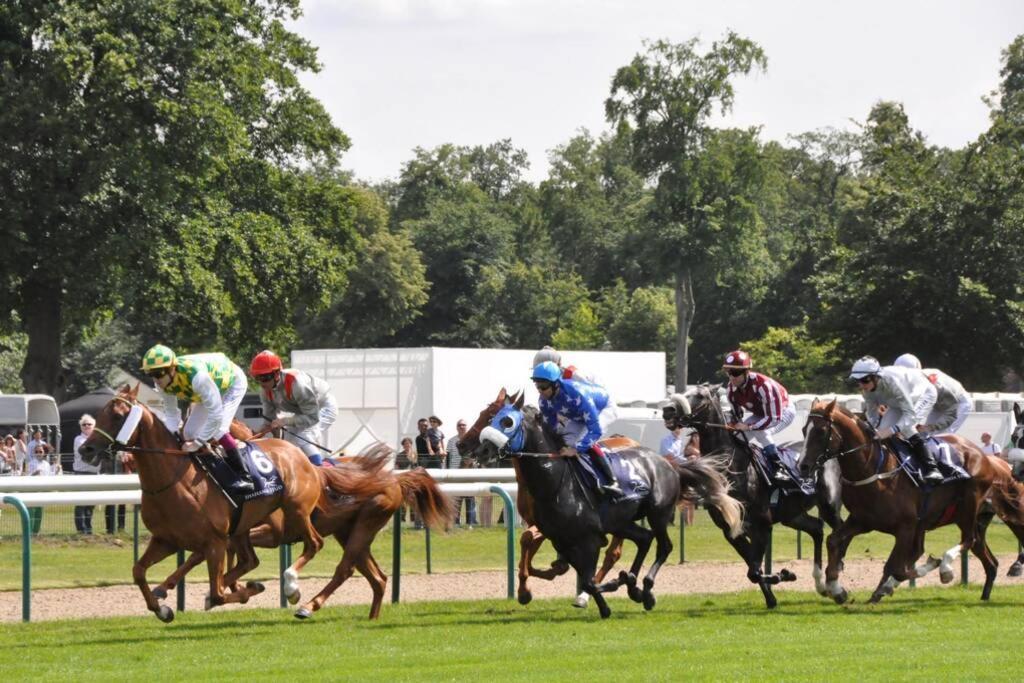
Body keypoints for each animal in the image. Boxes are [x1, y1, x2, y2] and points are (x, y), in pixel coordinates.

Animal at [81, 385, 325, 626]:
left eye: (118, 416)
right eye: (100, 414)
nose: (86, 449)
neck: (172, 481)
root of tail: (296, 451)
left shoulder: (214, 542)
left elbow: (217, 593)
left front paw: (243, 591)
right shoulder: (165, 540)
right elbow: (138, 571)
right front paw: (161, 609)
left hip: (297, 511)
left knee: (314, 543)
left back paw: (291, 589)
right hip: (242, 528)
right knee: (249, 560)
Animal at [468, 389, 741, 618]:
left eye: (506, 421)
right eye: (489, 418)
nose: (478, 449)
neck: (555, 482)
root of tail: (668, 463)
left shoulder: (588, 538)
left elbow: (588, 579)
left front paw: (600, 592)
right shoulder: (561, 538)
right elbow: (579, 574)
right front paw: (606, 600)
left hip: (658, 513)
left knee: (661, 546)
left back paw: (645, 590)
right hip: (621, 522)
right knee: (644, 539)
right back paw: (633, 585)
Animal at [663, 385, 839, 610]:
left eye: (699, 395)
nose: (668, 410)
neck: (733, 468)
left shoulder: (762, 525)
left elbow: (754, 570)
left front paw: (783, 575)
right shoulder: (731, 531)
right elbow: (753, 570)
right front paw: (774, 594)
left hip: (830, 506)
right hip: (792, 515)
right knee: (817, 528)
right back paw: (820, 583)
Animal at [794, 401, 1024, 602]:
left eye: (821, 431)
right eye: (804, 430)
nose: (802, 466)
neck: (874, 469)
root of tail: (987, 458)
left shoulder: (906, 526)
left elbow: (896, 567)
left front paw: (928, 568)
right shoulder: (863, 520)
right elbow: (834, 540)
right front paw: (836, 589)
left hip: (970, 503)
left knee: (969, 539)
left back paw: (946, 568)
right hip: (969, 517)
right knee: (988, 559)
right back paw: (985, 594)